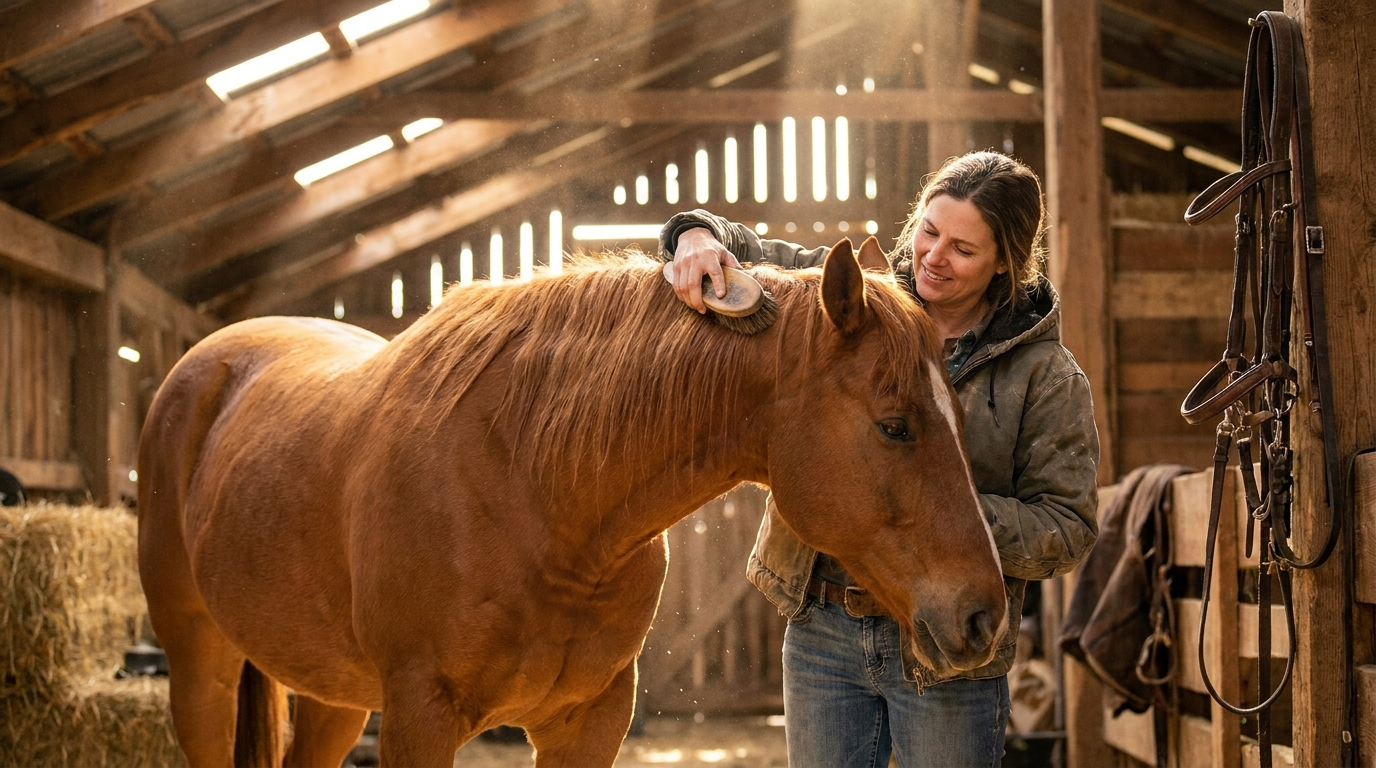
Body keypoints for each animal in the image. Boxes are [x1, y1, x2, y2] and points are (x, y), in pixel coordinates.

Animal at [137, 238, 1008, 767]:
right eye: (895, 425)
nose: (982, 616)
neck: (535, 489)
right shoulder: (419, 717)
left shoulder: (587, 721)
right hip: (202, 672)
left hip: (331, 699)